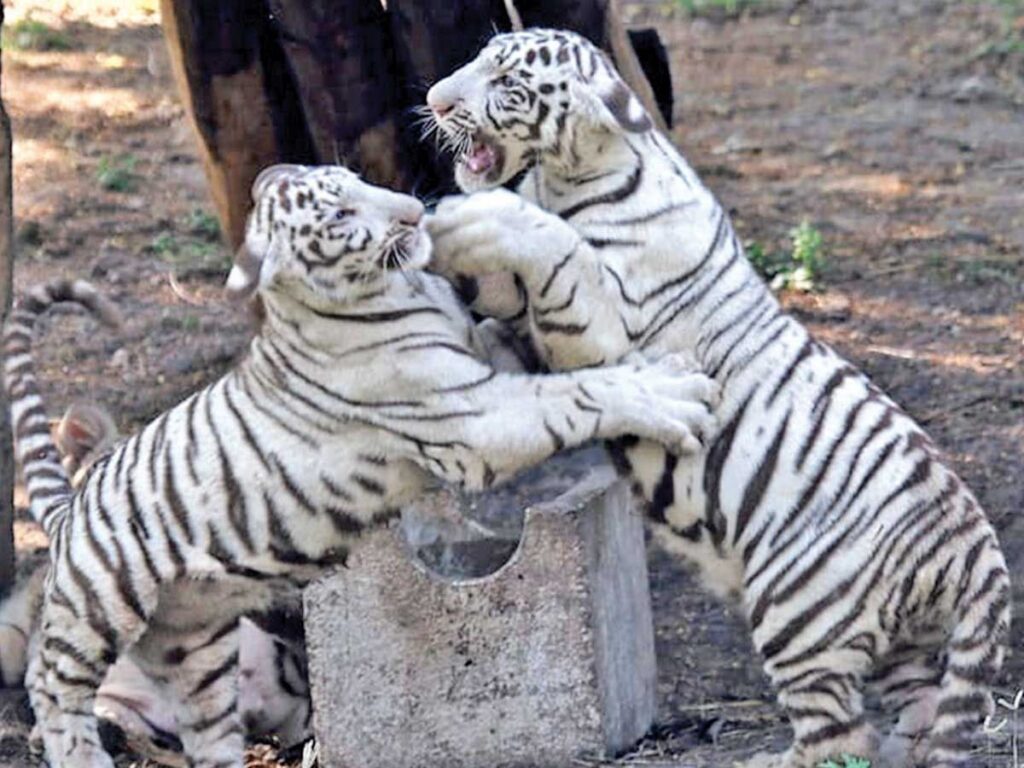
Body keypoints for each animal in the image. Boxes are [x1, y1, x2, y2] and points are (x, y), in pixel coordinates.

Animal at [2, 162, 720, 768]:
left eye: (357, 180)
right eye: (343, 214)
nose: (412, 211)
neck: (405, 286)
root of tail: (71, 505)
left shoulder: (489, 356)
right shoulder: (472, 420)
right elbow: (577, 396)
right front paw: (673, 393)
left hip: (197, 646)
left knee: (206, 726)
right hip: (101, 602)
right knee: (51, 682)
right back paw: (81, 754)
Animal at [421, 28, 1007, 768]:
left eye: (506, 82)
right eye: (479, 58)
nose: (436, 99)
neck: (569, 175)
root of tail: (974, 548)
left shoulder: (607, 334)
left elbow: (554, 249)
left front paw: (469, 222)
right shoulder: (539, 343)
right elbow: (500, 336)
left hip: (798, 609)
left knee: (838, 737)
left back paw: (770, 759)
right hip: (901, 642)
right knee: (913, 713)